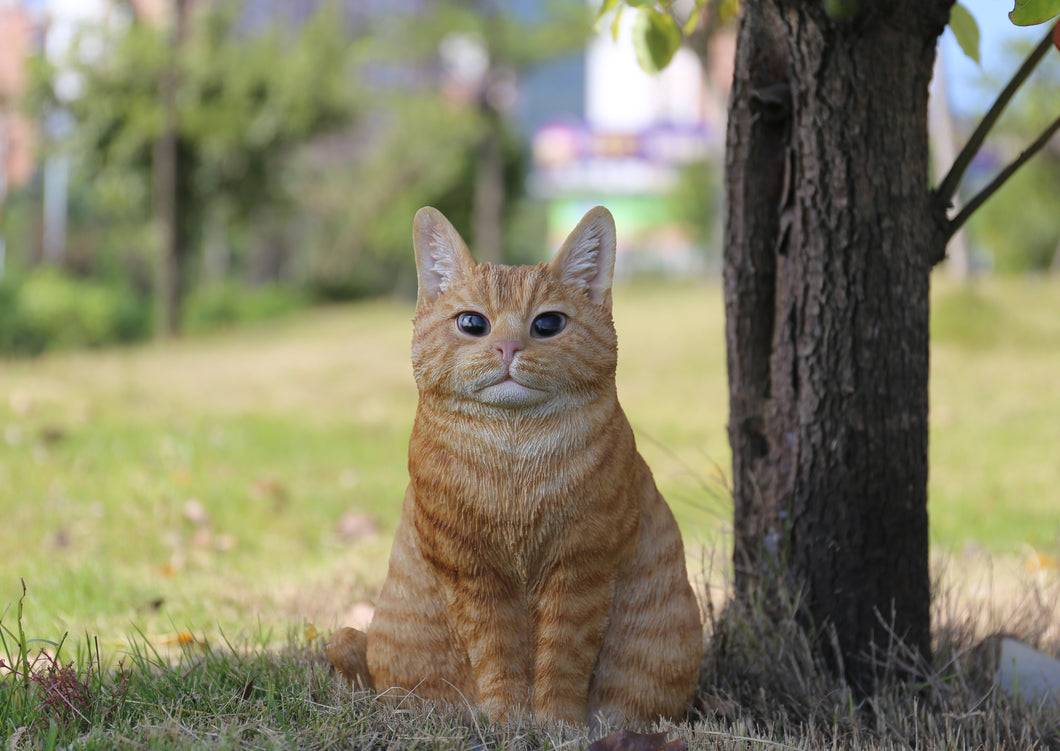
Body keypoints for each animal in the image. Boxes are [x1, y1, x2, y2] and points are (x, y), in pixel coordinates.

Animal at [326, 205, 699, 725]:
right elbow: (497, 653)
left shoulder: (581, 569)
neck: (514, 451)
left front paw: (557, 725)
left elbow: (562, 658)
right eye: (472, 323)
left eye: (548, 324)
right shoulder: (472, 570)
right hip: (351, 642)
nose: (507, 348)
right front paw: (507, 721)